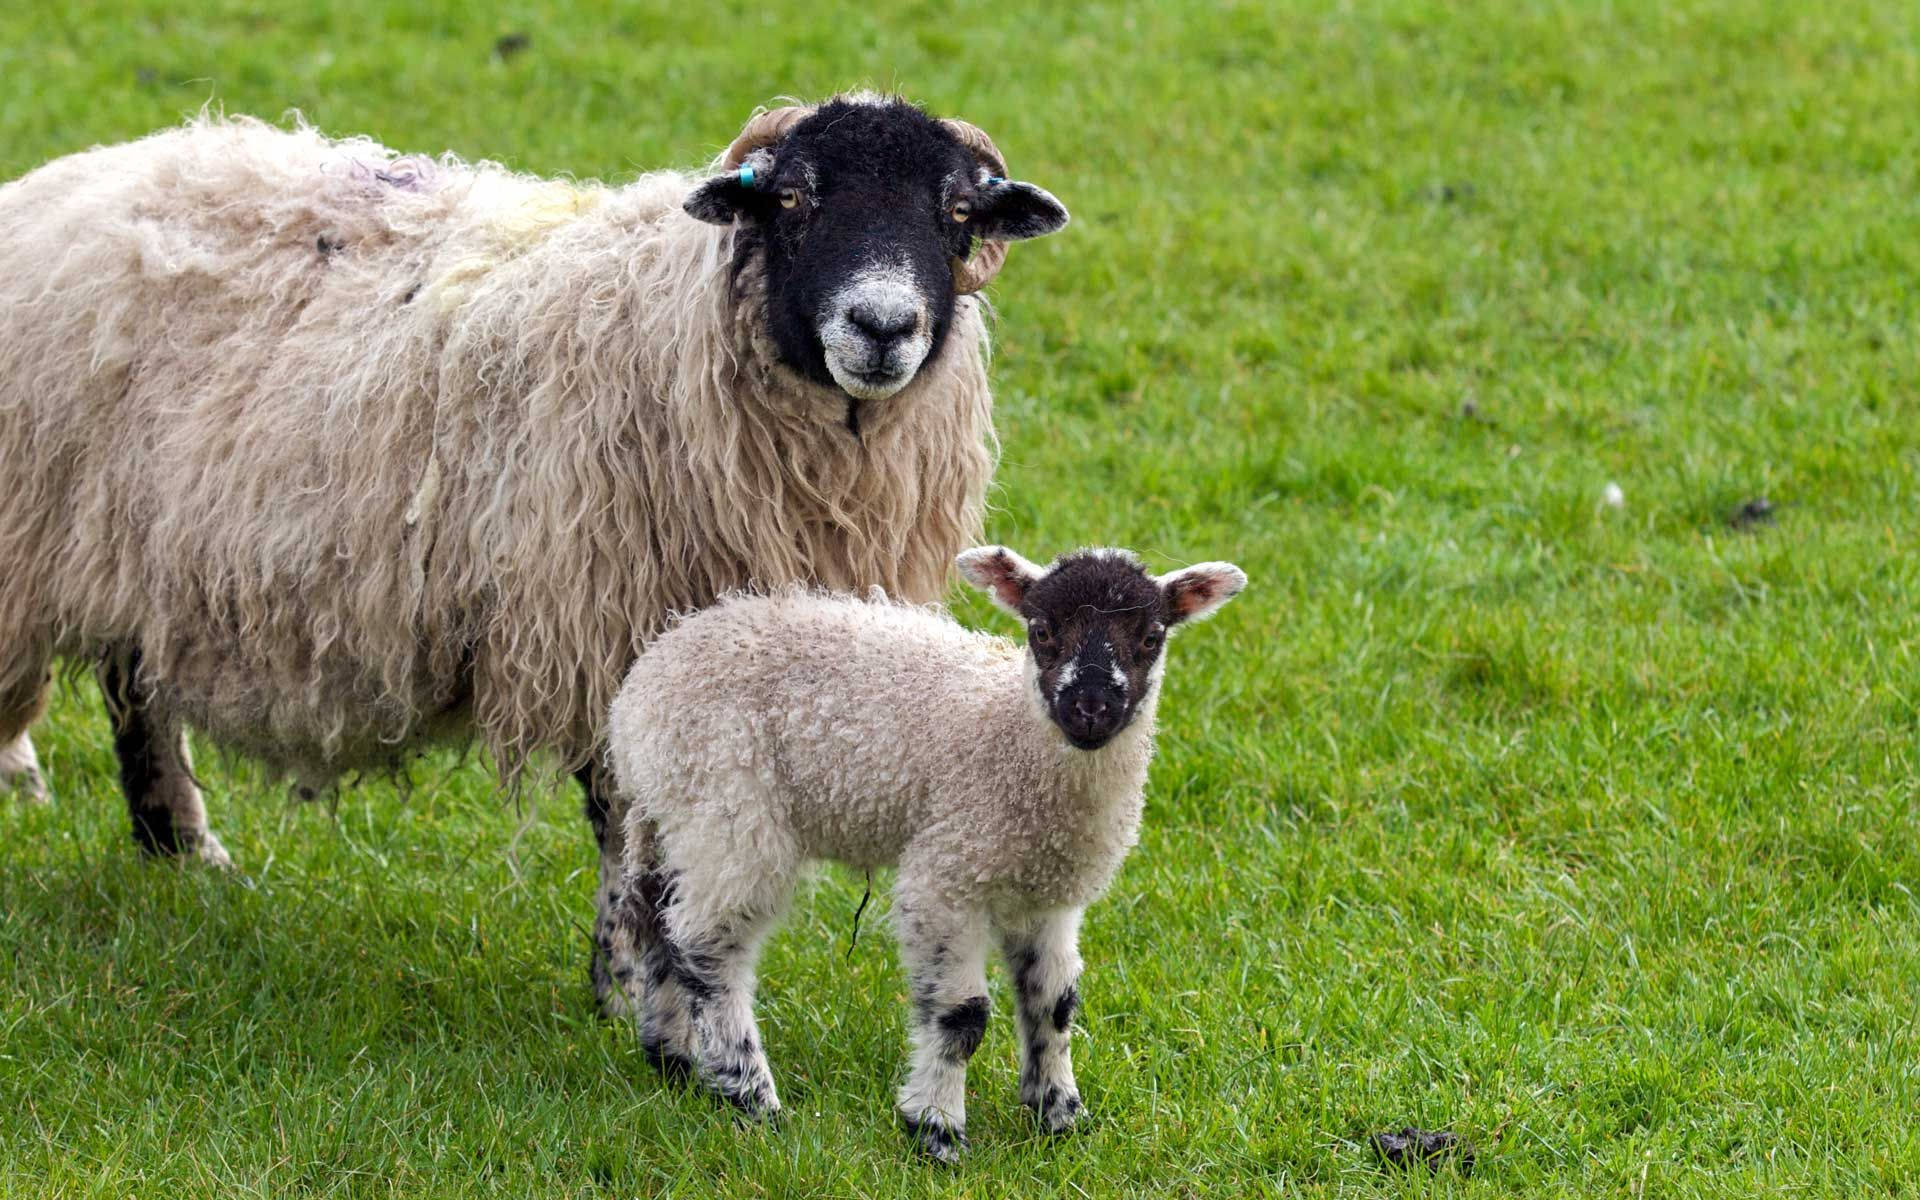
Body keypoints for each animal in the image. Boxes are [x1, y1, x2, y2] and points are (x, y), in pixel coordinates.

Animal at [0, 93, 1067, 1013]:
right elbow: (626, 825)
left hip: (132, 549)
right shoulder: (612, 629)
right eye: (795, 198)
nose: (882, 326)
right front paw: (630, 989)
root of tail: (76, 176)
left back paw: (180, 849)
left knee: (133, 686)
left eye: (957, 211)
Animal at [606, 545, 1251, 1159]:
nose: (1090, 708)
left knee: (657, 921)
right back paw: (752, 1097)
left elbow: (1055, 1004)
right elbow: (962, 1017)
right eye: (1042, 631)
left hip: (676, 817)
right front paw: (935, 1130)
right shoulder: (947, 873)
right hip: (730, 809)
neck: (1011, 741)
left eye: (1151, 637)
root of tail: (641, 687)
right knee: (708, 945)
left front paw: (1060, 1118)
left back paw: (674, 1060)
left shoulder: (1047, 895)